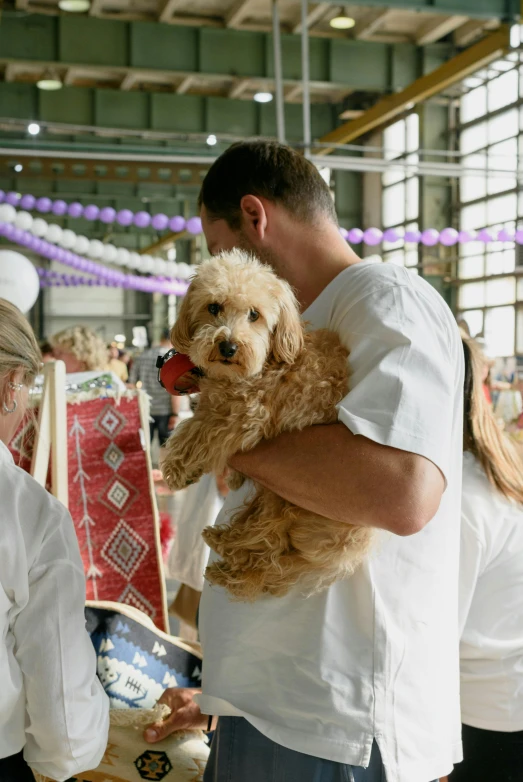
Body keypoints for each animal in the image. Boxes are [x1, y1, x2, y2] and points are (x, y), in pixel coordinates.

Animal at [162, 251, 374, 600]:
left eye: (254, 314)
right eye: (214, 307)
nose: (228, 347)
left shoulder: (246, 416)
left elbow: (198, 430)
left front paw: (178, 468)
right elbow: (200, 420)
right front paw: (230, 476)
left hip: (292, 503)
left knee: (268, 552)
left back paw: (227, 562)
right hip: (277, 501)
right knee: (265, 547)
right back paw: (223, 547)